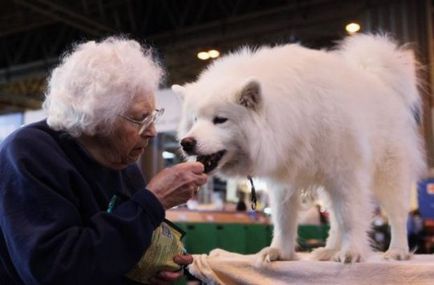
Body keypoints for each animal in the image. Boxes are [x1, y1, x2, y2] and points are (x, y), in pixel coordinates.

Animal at [172, 34, 424, 262]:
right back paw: (329, 250)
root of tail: (380, 81)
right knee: (334, 218)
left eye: (220, 120)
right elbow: (284, 219)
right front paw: (279, 252)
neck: (296, 113)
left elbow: (350, 218)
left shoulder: (346, 175)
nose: (187, 142)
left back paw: (397, 251)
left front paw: (351, 252)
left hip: (389, 173)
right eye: (195, 120)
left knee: (396, 214)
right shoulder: (284, 180)